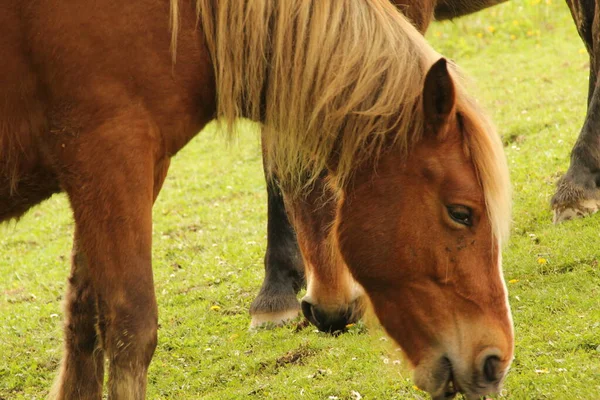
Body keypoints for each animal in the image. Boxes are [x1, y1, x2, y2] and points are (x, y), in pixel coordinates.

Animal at [3, 0, 510, 400]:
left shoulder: (116, 170)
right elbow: (130, 327)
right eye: (462, 213)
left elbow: (83, 316)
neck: (184, 21)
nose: (496, 359)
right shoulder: (110, 156)